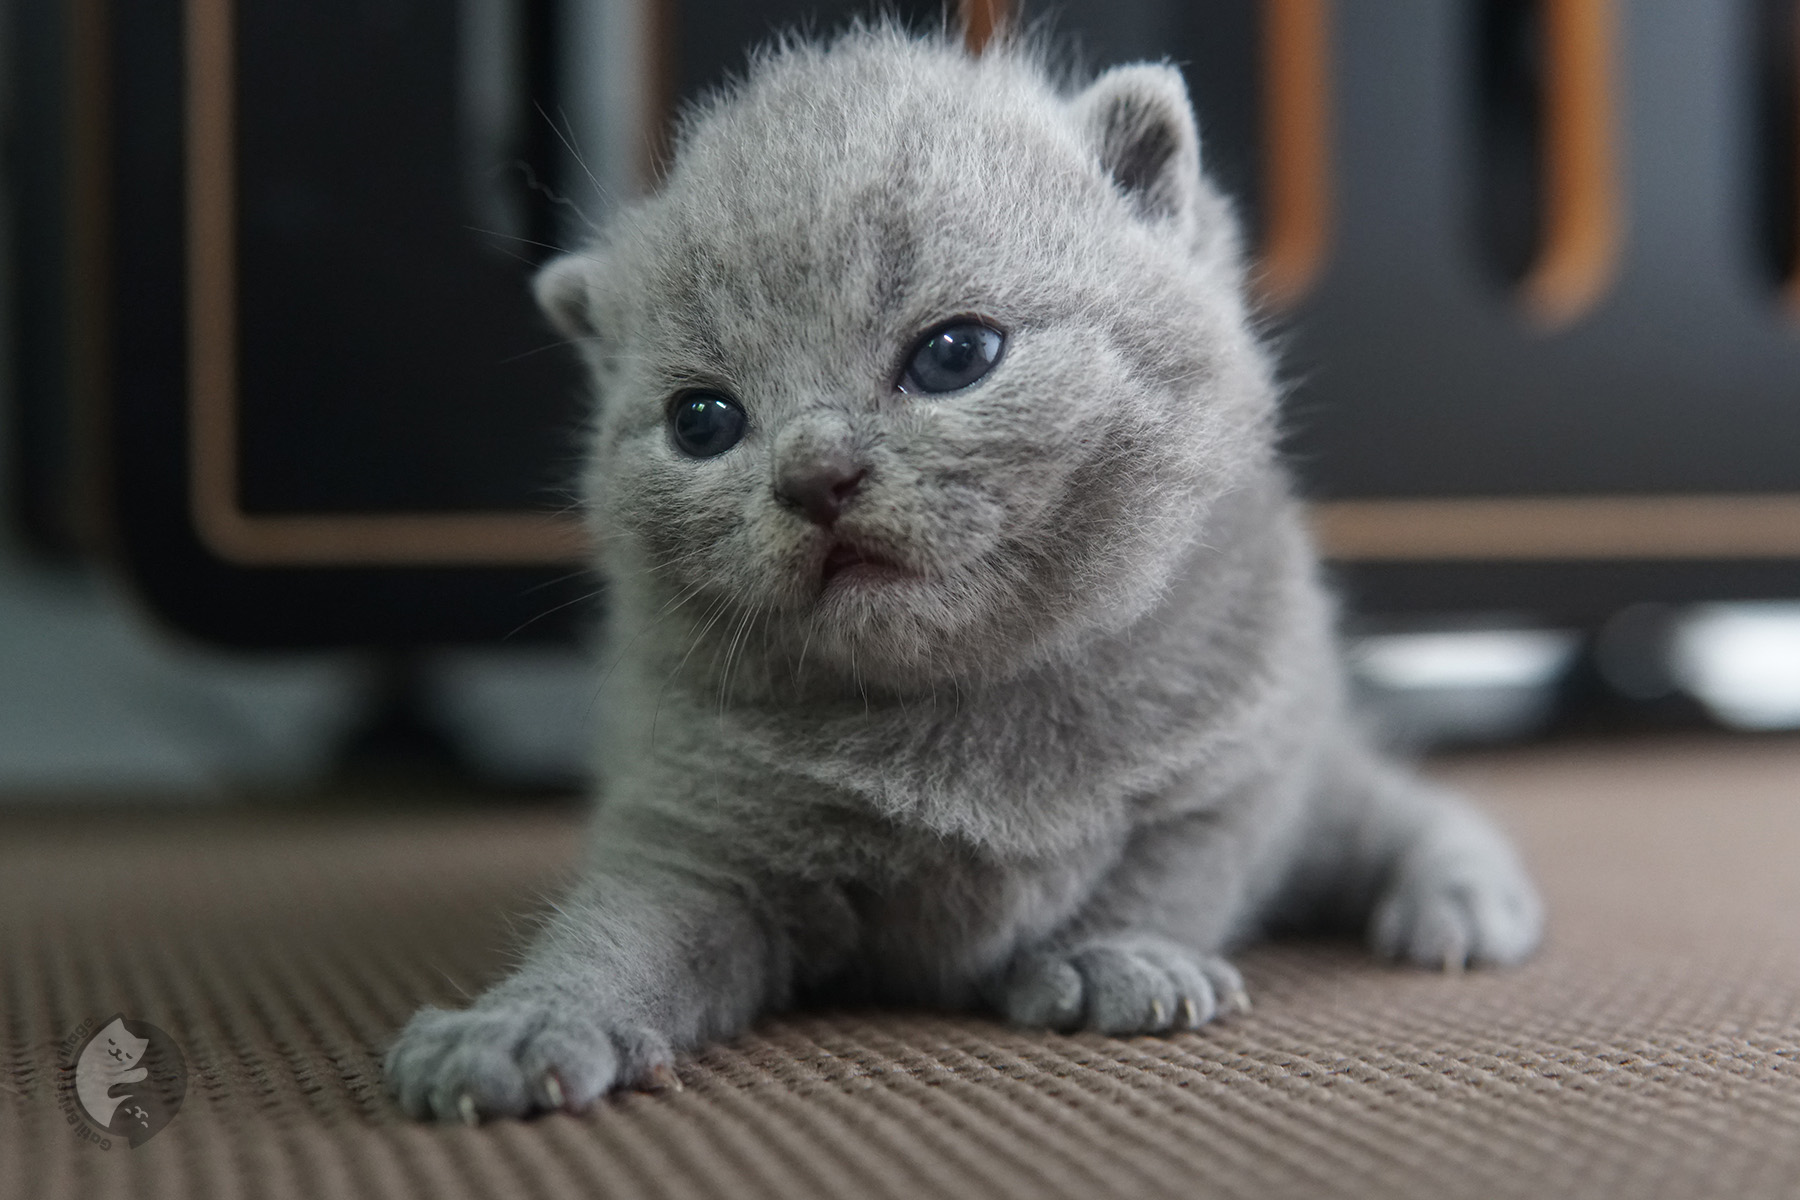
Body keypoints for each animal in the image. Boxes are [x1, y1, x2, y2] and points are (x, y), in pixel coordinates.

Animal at [387, 25, 1540, 1129]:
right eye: (702, 421)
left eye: (954, 355)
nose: (814, 476)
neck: (964, 707)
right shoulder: (698, 833)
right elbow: (621, 932)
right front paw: (520, 1029)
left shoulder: (1236, 763)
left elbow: (1172, 873)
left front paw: (1117, 958)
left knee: (1383, 804)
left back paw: (1464, 901)